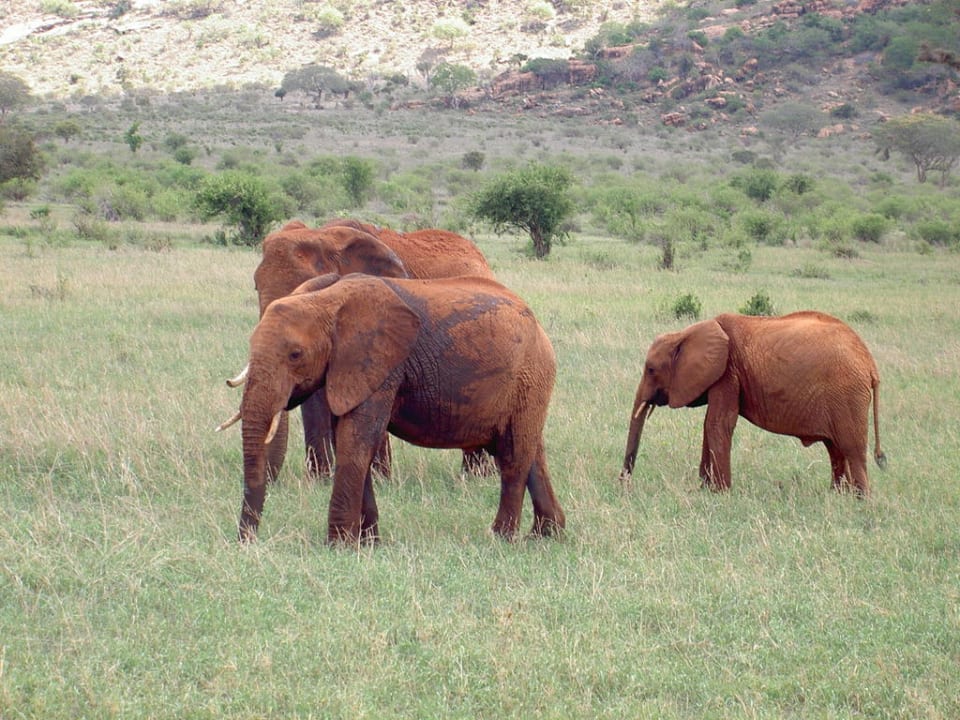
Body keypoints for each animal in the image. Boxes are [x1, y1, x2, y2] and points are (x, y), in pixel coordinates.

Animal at [225, 272, 565, 544]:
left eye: (295, 354)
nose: (246, 542)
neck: (327, 299)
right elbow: (351, 437)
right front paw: (369, 543)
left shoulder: (382, 365)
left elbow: (356, 440)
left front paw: (339, 546)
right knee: (532, 452)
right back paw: (546, 535)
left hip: (530, 375)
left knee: (514, 455)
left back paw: (500, 538)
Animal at [233, 219, 495, 481]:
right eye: (256, 287)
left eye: (310, 291)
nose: (269, 481)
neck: (323, 235)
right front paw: (321, 480)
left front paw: (379, 480)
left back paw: (477, 477)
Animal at [620, 311, 886, 496]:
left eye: (651, 369)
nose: (624, 486)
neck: (686, 333)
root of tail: (870, 363)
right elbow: (709, 424)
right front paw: (704, 489)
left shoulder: (728, 371)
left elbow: (718, 423)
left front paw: (720, 493)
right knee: (835, 449)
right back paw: (837, 496)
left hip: (848, 395)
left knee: (852, 449)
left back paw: (860, 501)